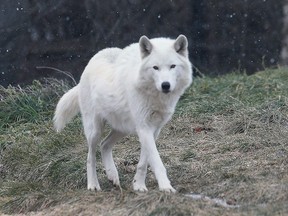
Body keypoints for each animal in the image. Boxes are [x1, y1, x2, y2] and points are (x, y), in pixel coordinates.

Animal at [54, 35, 194, 192]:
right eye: (155, 67)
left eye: (172, 66)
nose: (165, 85)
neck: (155, 96)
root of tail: (92, 60)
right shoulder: (144, 127)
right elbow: (156, 161)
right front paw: (165, 187)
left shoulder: (154, 129)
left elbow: (144, 162)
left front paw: (138, 185)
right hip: (94, 130)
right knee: (91, 157)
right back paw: (93, 185)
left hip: (122, 129)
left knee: (104, 145)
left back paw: (112, 176)